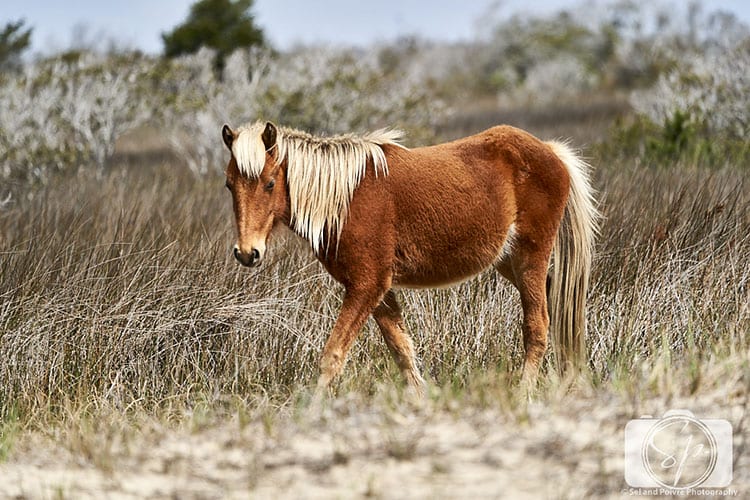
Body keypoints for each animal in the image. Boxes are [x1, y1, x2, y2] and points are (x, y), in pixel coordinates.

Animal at [221, 121, 598, 394]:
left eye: (270, 183)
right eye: (229, 185)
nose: (247, 253)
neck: (344, 199)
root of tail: (550, 151)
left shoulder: (366, 286)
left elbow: (333, 355)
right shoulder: (378, 290)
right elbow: (402, 350)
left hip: (529, 256)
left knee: (537, 327)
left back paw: (524, 393)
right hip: (510, 263)